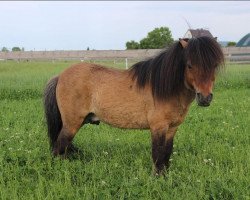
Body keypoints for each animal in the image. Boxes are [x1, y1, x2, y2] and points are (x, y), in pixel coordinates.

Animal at [43, 36, 225, 174]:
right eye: (189, 65)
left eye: (214, 65)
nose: (205, 98)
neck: (164, 88)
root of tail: (60, 76)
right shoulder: (158, 127)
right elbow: (158, 154)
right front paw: (157, 178)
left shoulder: (171, 129)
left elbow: (166, 153)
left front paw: (165, 176)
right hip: (72, 123)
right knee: (59, 147)